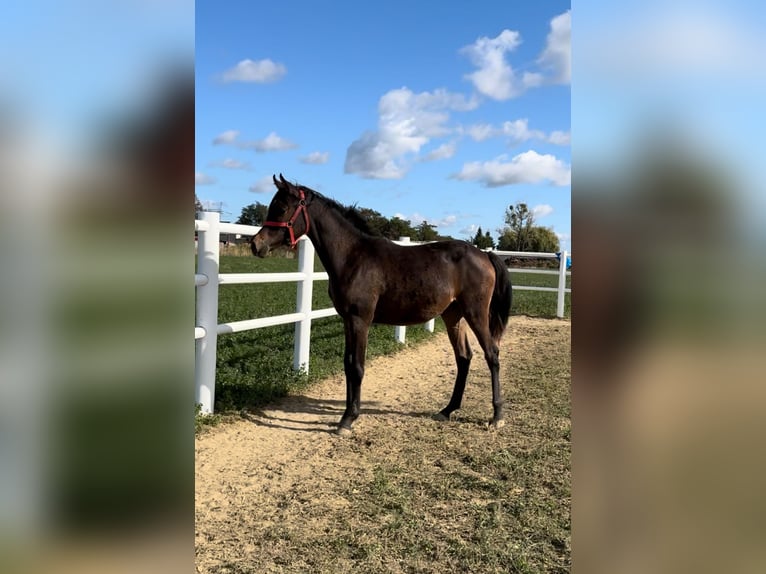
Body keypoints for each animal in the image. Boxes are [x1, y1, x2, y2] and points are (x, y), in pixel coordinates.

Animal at [255, 176, 512, 436]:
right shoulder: (348, 320)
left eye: (282, 207)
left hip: (475, 313)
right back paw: (447, 410)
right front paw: (346, 415)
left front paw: (348, 419)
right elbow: (348, 364)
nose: (256, 244)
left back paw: (497, 416)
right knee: (463, 357)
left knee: (492, 354)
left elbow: (357, 367)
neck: (353, 257)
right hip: (453, 316)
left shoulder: (361, 320)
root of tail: (485, 254)